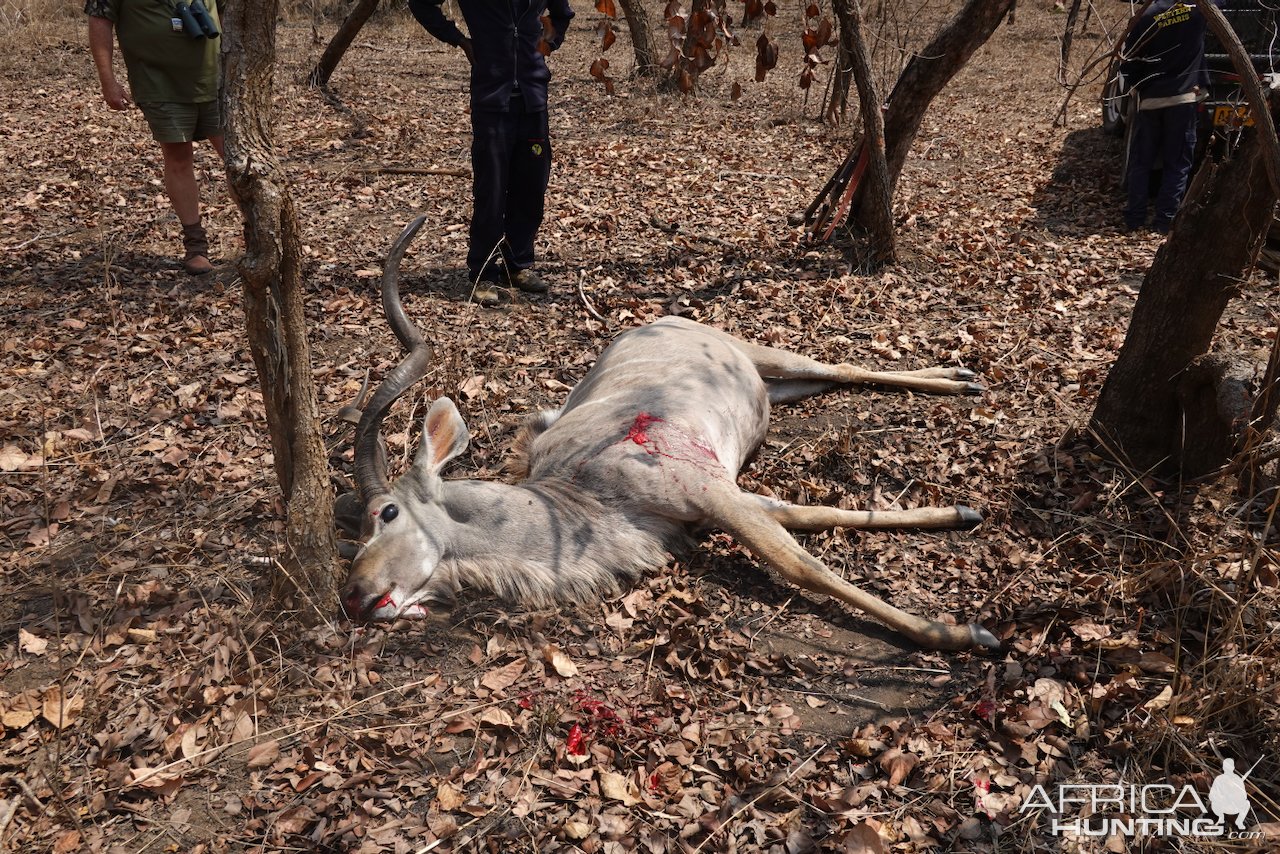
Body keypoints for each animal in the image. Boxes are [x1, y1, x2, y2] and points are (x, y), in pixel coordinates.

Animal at [343, 217, 998, 650]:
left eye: (387, 513)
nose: (354, 596)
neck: (578, 496)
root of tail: (659, 319)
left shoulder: (709, 491)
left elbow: (800, 563)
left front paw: (965, 633)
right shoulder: (713, 505)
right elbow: (808, 515)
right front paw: (962, 513)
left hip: (772, 358)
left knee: (840, 367)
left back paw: (962, 378)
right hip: (778, 390)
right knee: (826, 381)